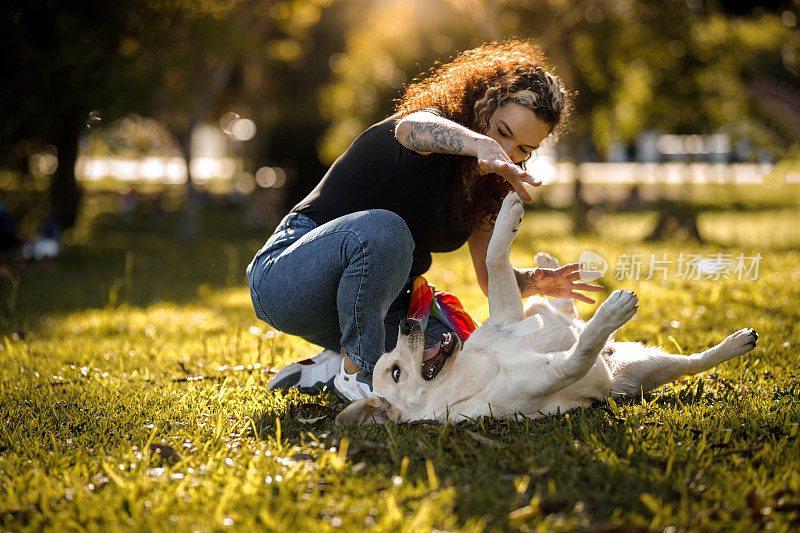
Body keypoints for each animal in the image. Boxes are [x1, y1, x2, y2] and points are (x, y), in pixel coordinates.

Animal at [336, 191, 756, 424]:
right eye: (394, 373)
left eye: (392, 357)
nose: (406, 323)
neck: (476, 369)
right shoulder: (559, 373)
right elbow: (583, 349)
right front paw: (612, 314)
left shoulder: (508, 313)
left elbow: (494, 256)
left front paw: (508, 212)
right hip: (646, 372)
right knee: (691, 362)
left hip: (545, 312)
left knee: (561, 308)